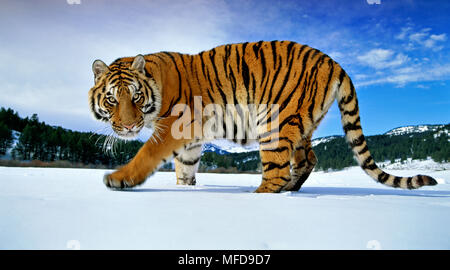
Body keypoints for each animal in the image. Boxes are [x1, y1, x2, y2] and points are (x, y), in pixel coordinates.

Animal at [87, 40, 436, 192]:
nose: (128, 125)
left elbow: (146, 154)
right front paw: (185, 190)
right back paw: (291, 189)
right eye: (112, 99)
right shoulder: (191, 139)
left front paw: (118, 179)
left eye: (135, 97)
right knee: (308, 159)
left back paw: (261, 196)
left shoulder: (175, 125)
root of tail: (335, 62)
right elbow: (184, 168)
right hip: (302, 124)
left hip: (274, 123)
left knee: (277, 171)